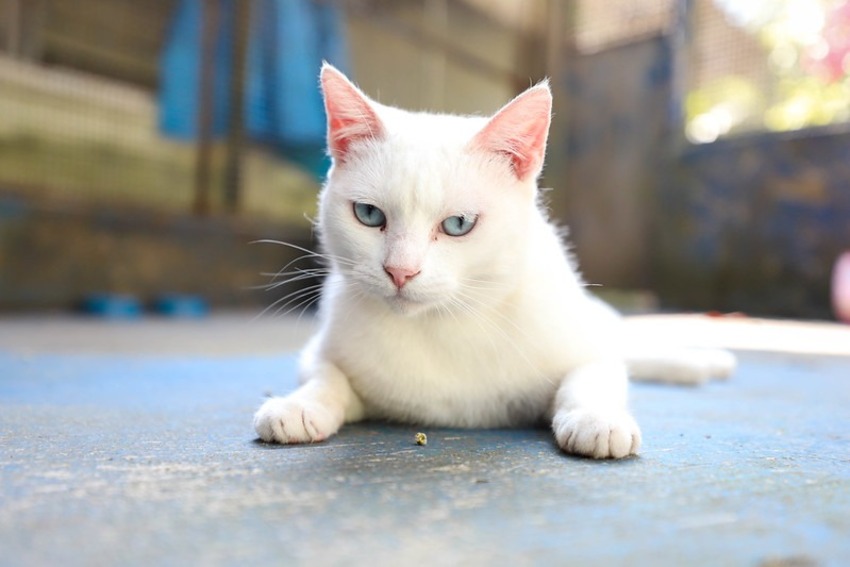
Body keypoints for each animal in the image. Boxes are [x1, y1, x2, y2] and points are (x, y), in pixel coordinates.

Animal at [250, 64, 728, 460]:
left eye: (458, 224)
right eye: (369, 215)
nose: (400, 271)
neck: (442, 324)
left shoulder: (587, 353)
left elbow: (588, 379)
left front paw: (597, 420)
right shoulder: (320, 350)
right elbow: (326, 377)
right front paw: (299, 406)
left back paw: (705, 361)